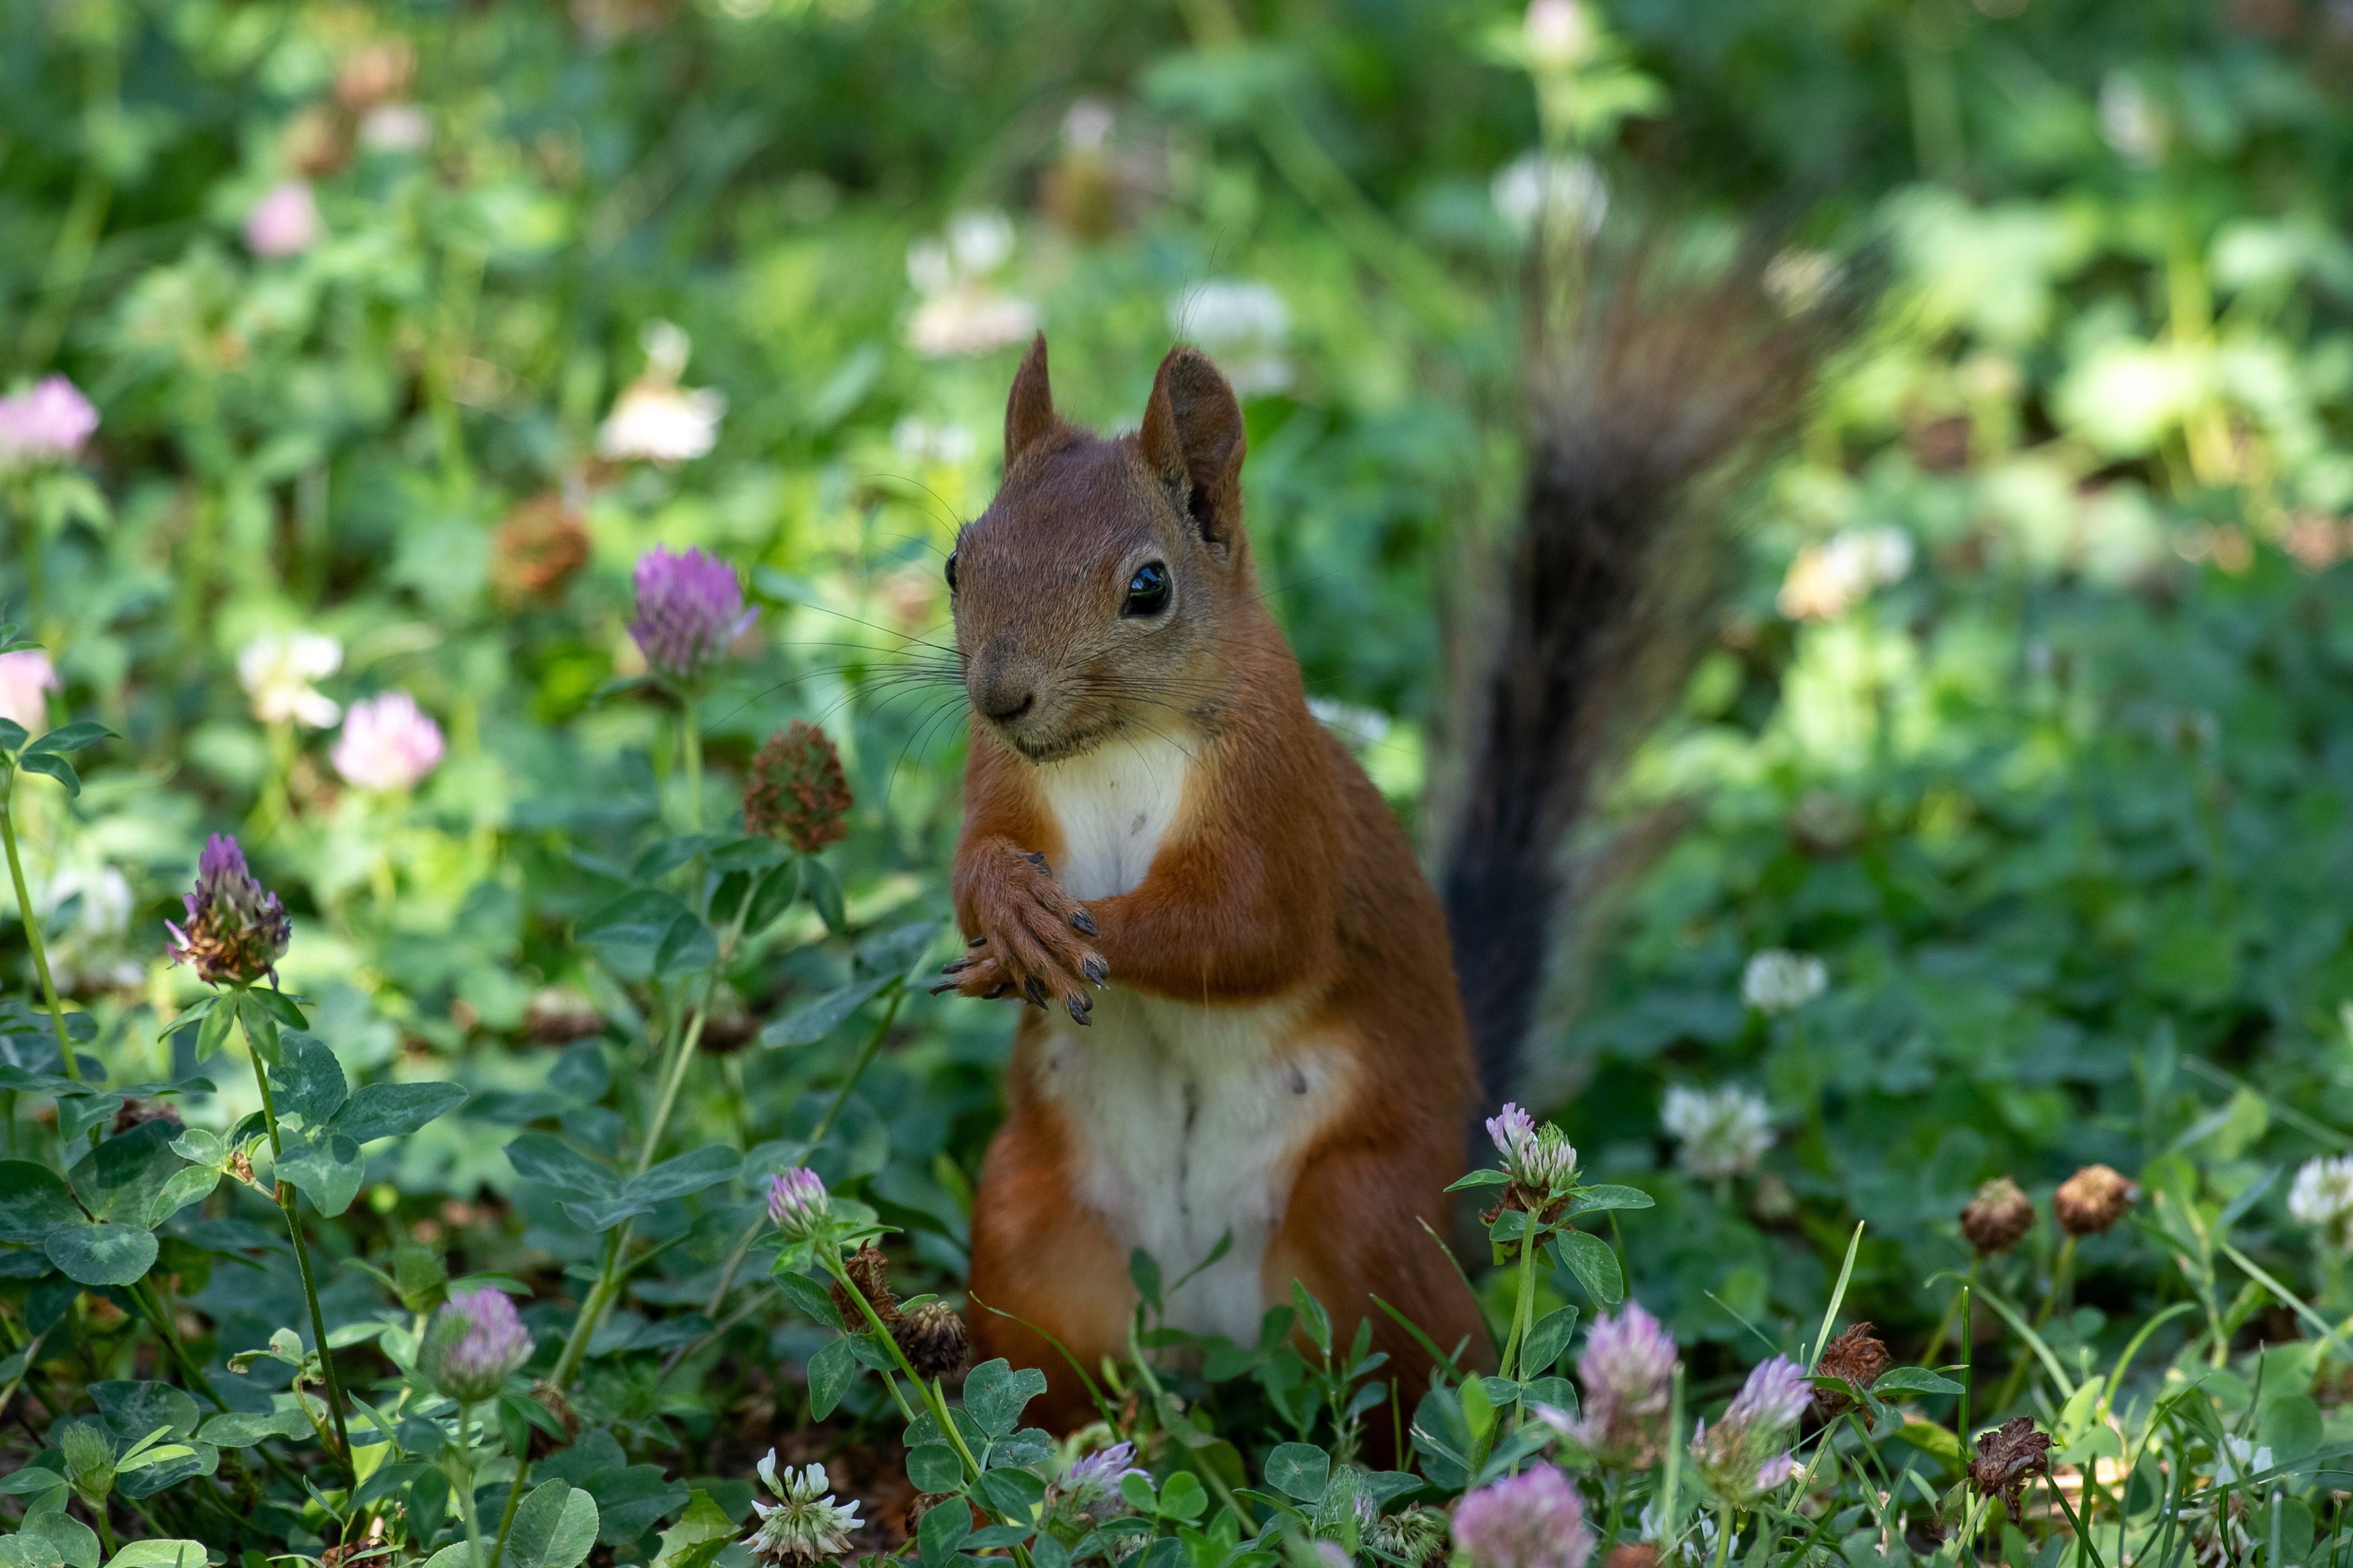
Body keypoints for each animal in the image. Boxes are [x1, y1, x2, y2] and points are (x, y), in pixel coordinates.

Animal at [936, 276, 1835, 1429]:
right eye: (957, 561)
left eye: (1149, 588)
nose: (1001, 693)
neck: (1113, 749)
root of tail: (1203, 1320)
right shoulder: (999, 777)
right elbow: (974, 862)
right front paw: (1011, 910)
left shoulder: (1280, 800)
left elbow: (1250, 927)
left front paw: (1077, 935)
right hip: (1026, 1220)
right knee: (1047, 1371)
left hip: (1359, 1214)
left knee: (1438, 1375)